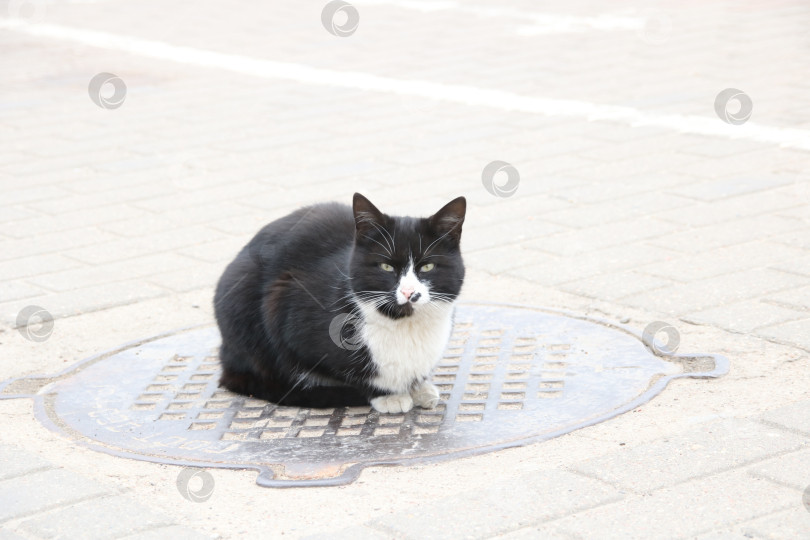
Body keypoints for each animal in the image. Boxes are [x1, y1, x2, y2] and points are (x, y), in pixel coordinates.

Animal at [215, 194, 464, 414]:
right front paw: (388, 395)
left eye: (428, 267)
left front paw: (420, 387)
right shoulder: (286, 311)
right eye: (386, 267)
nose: (409, 292)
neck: (404, 323)